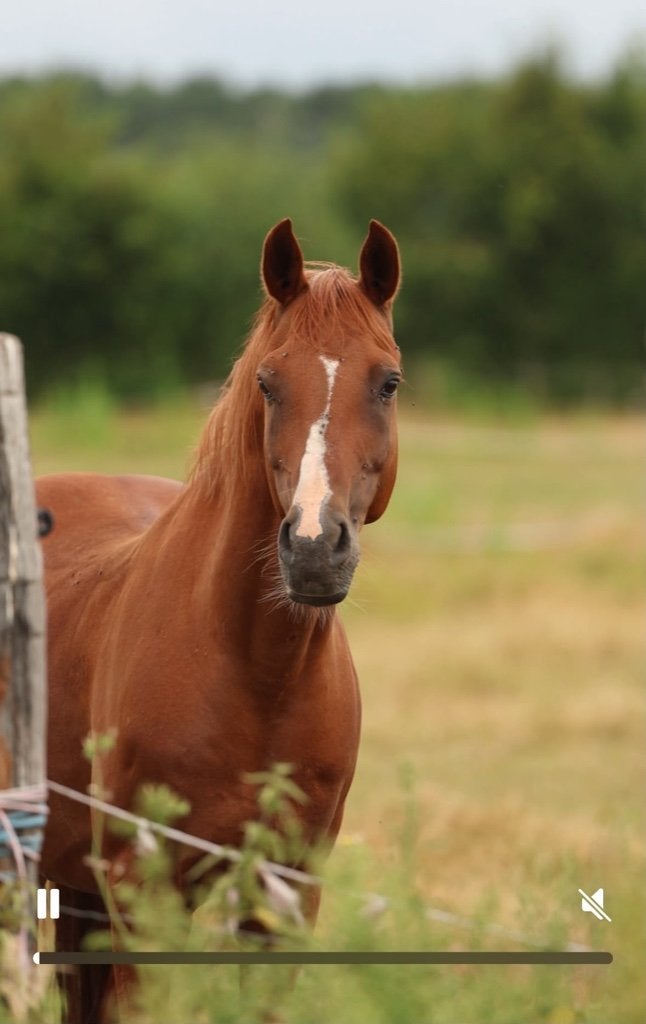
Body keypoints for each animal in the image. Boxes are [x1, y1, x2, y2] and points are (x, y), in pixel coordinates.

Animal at [37, 218, 401, 1022]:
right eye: (267, 383)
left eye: (388, 382)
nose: (312, 549)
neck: (260, 676)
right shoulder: (143, 898)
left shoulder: (285, 895)